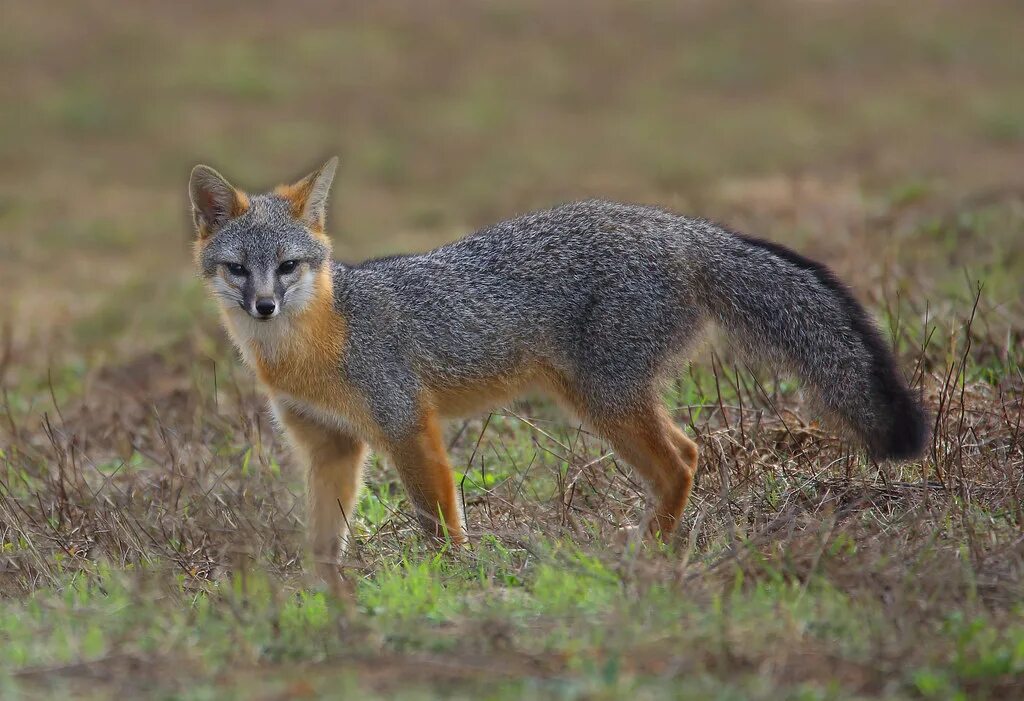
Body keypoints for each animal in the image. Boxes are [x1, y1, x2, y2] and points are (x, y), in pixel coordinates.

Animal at [190, 161, 929, 593]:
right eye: (239, 269)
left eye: (288, 266)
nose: (263, 305)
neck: (311, 348)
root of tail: (678, 228)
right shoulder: (332, 447)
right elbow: (325, 540)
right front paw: (326, 600)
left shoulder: (406, 425)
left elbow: (439, 522)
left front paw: (453, 584)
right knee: (688, 453)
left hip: (602, 399)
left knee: (684, 459)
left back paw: (645, 558)